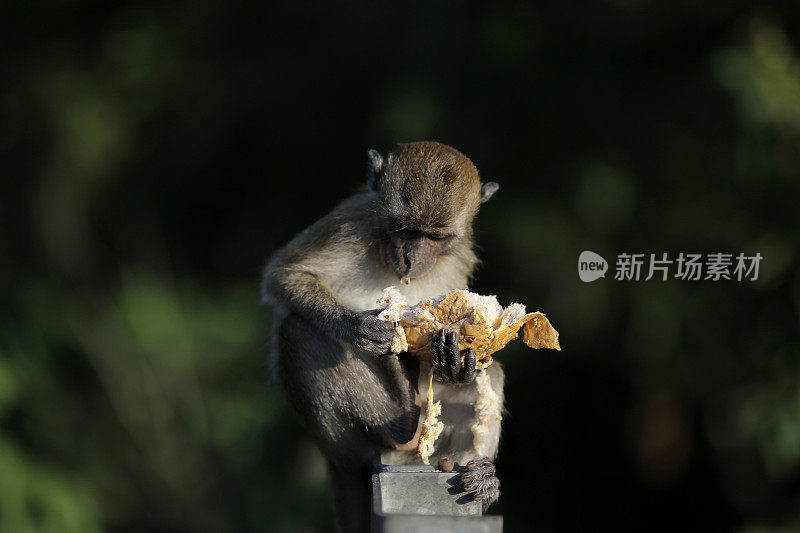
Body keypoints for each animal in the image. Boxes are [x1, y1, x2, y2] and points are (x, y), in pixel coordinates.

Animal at [260, 139, 500, 528]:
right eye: (403, 228)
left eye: (435, 237)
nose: (410, 258)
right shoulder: (348, 224)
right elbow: (285, 276)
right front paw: (356, 327)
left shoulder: (459, 256)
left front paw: (454, 361)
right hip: (346, 442)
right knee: (297, 330)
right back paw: (401, 421)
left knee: (491, 374)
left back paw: (480, 475)